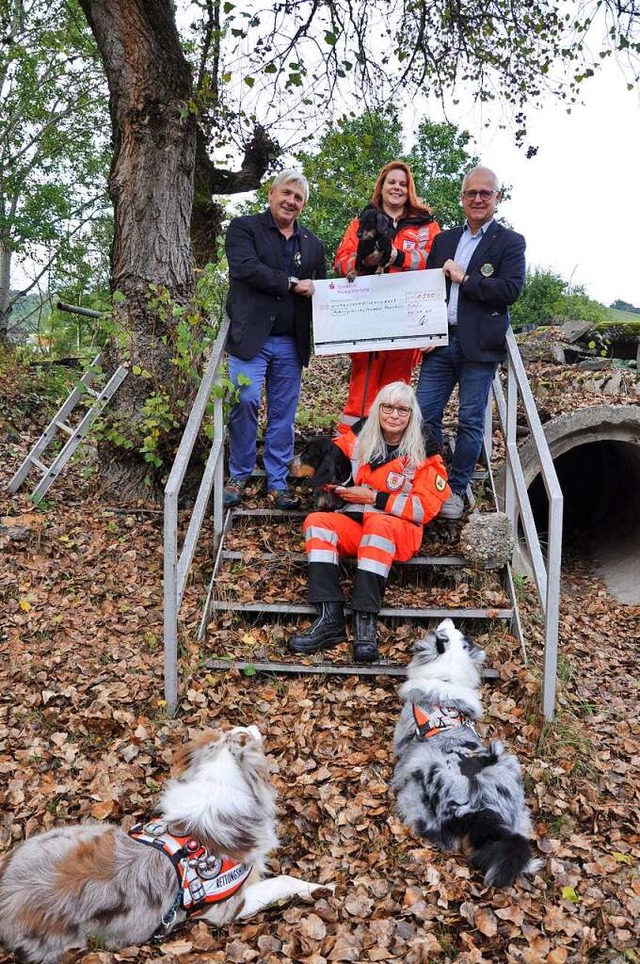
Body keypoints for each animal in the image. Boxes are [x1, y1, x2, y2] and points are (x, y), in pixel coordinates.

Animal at [390, 620, 540, 884]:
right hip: (507, 761)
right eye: (458, 635)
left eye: (444, 632)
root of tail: (480, 807)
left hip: (420, 774)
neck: (446, 679)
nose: (448, 619)